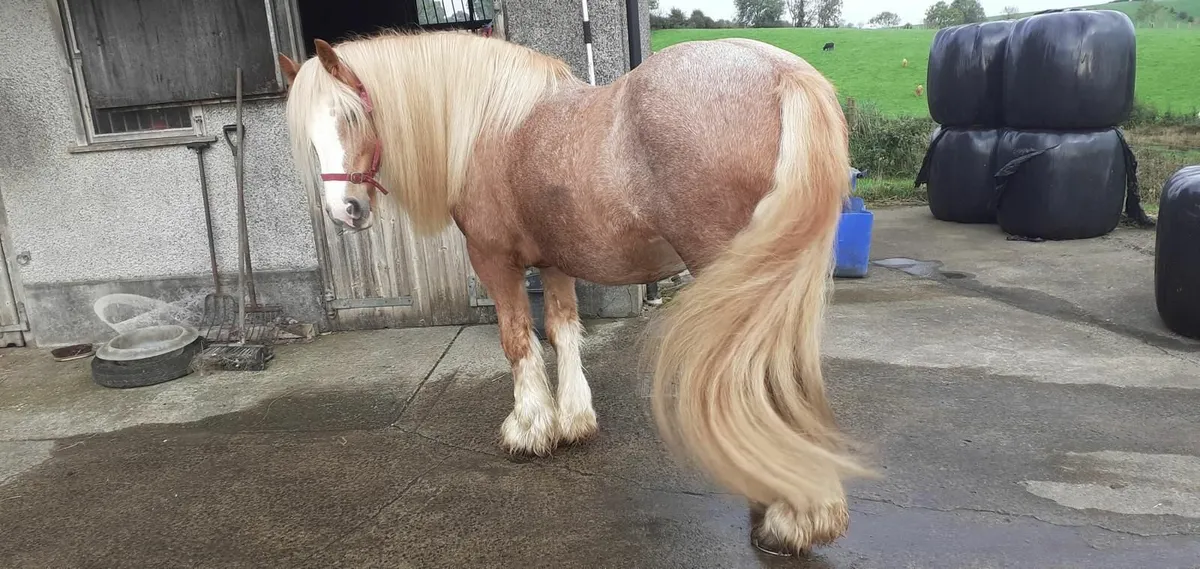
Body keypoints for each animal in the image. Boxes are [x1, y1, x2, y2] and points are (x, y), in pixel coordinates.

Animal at [276, 30, 873, 555]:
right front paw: (572, 421)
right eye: (308, 134)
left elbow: (518, 339)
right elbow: (562, 331)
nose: (345, 211)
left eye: (353, 116)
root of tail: (782, 72)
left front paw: (529, 429)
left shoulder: (494, 261)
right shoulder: (555, 262)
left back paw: (785, 516)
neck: (490, 127)